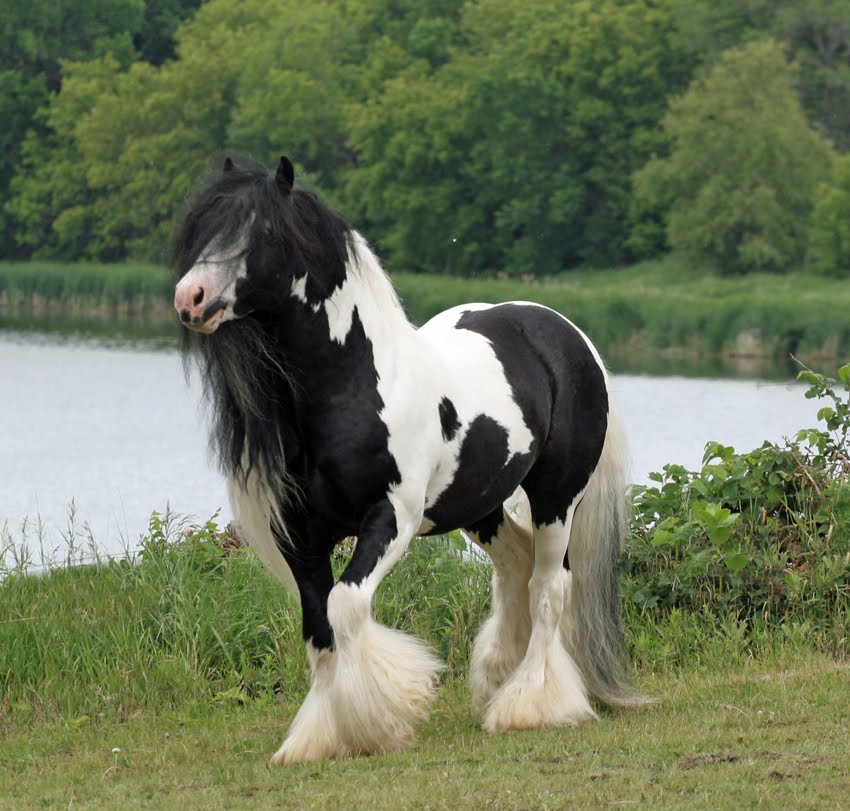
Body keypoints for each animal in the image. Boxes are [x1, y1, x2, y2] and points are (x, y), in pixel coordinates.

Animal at [173, 156, 646, 764]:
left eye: (266, 231)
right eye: (205, 227)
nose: (191, 297)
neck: (352, 387)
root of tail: (568, 335)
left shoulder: (389, 518)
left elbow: (346, 607)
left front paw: (377, 722)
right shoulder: (299, 534)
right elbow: (317, 627)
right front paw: (316, 739)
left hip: (557, 498)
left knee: (549, 588)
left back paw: (527, 705)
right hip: (480, 505)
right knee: (516, 567)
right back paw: (498, 679)